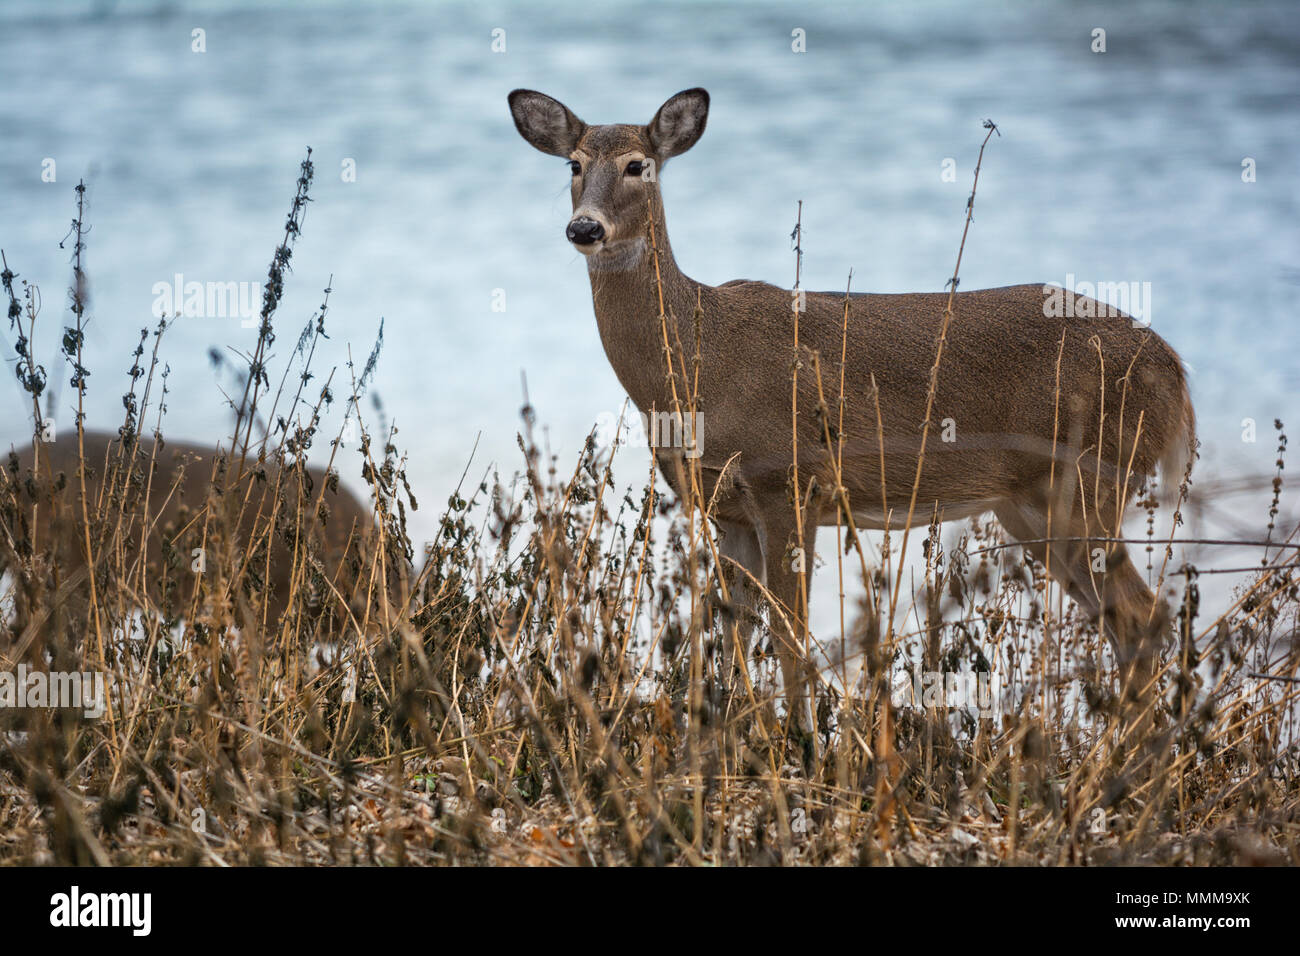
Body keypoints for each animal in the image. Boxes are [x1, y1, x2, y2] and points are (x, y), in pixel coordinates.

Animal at [509, 89, 1196, 738]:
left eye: (637, 165)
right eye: (574, 164)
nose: (585, 229)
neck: (700, 363)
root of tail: (1177, 371)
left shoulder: (788, 482)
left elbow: (789, 635)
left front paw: (802, 745)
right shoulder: (725, 507)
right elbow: (730, 635)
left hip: (1091, 480)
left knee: (1143, 616)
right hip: (1031, 504)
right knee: (1126, 621)